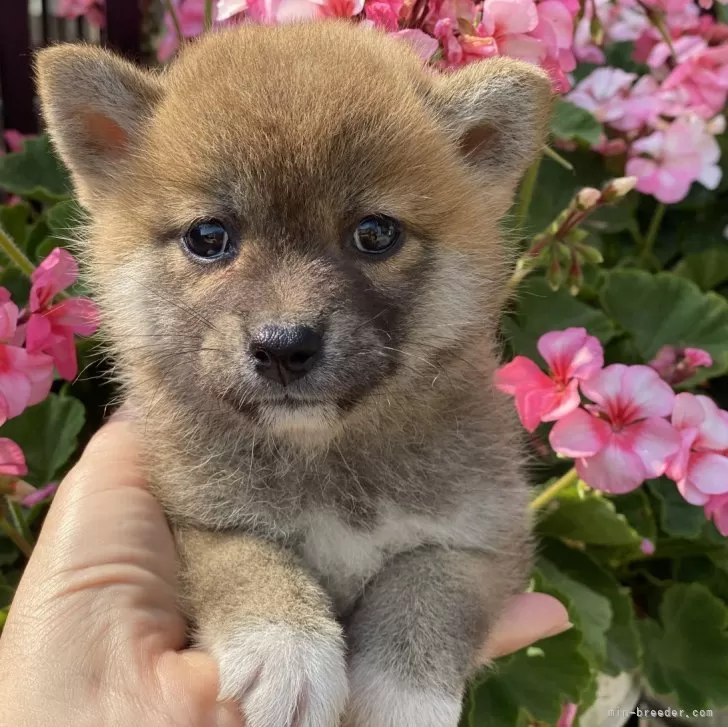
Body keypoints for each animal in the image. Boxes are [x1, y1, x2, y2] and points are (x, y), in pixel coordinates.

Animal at [37, 22, 552, 727]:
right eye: (208, 236)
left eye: (374, 232)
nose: (284, 347)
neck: (327, 459)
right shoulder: (194, 518)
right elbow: (245, 558)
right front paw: (287, 650)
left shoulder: (487, 536)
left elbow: (430, 587)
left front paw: (403, 692)